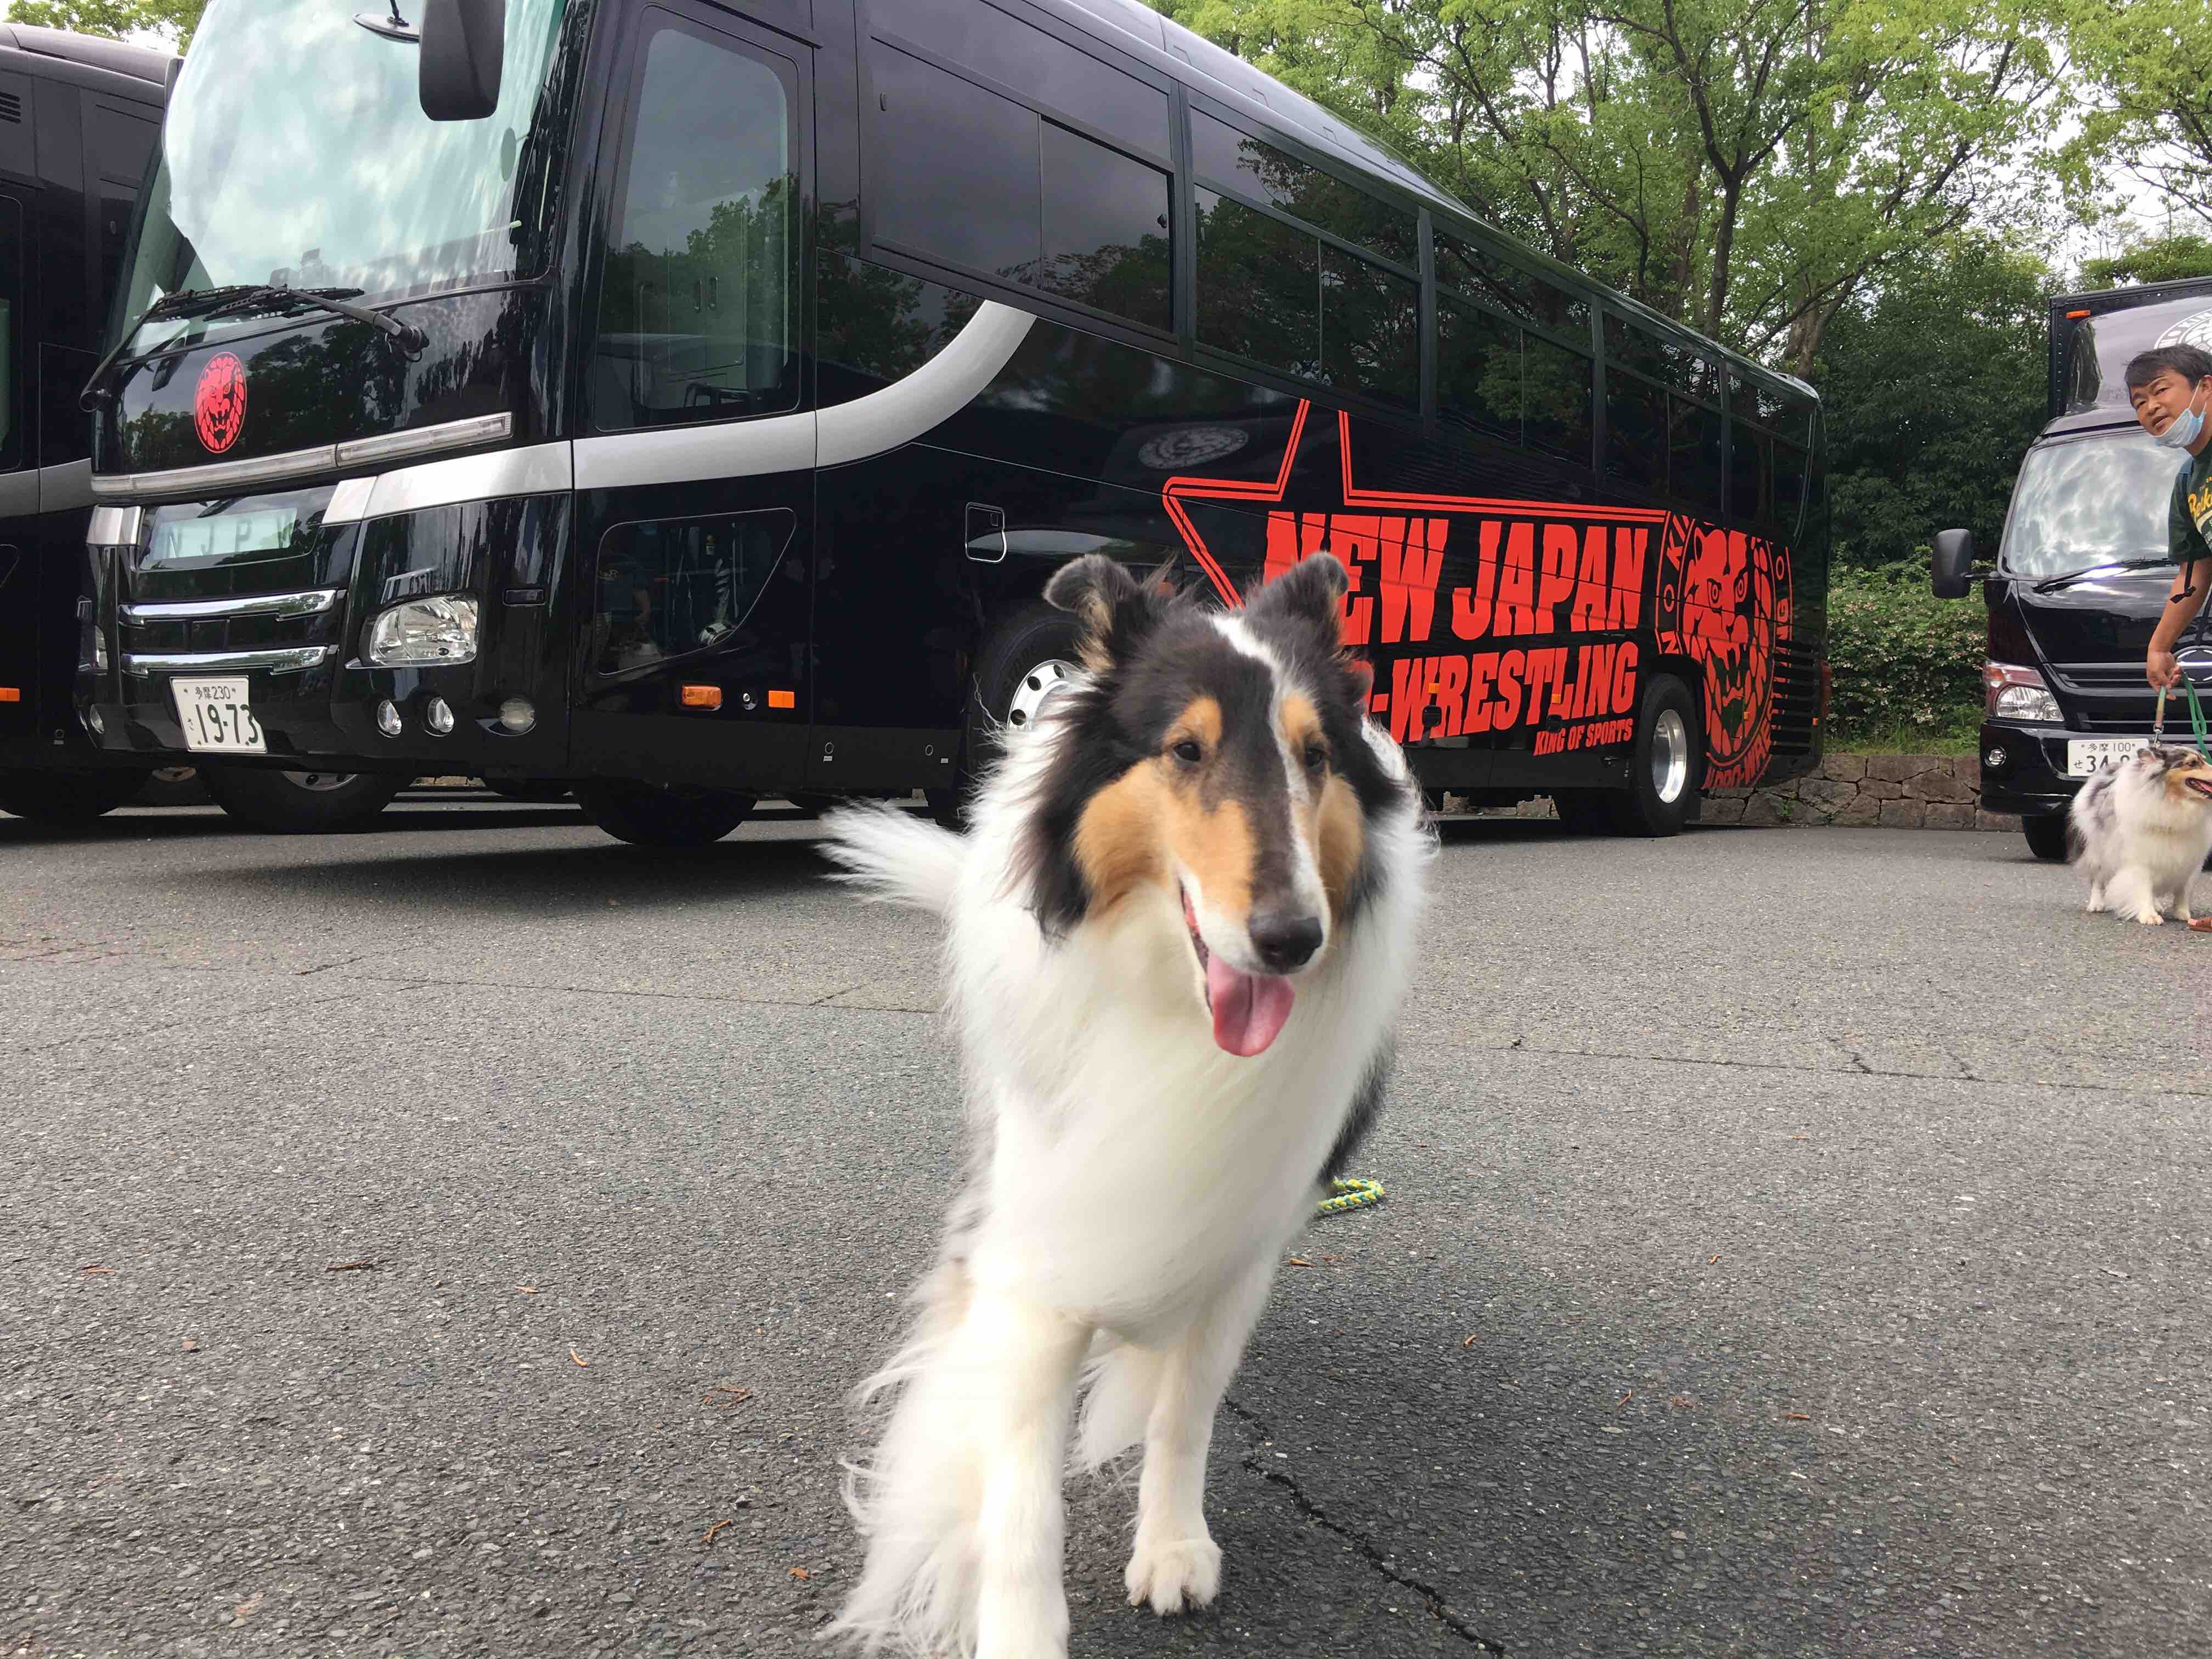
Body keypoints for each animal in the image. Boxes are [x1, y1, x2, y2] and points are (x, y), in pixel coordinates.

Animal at [816, 553, 1428, 1657]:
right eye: (1186, 749)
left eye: (1316, 755)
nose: (1291, 940)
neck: (1167, 1011)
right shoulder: (1037, 1235)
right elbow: (1020, 1495)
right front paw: (1018, 1629)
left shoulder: (1235, 1242)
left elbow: (1185, 1411)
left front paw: (1173, 1543)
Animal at [2068, 744, 2212, 924]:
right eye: (2192, 763)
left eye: (2204, 760)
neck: (2171, 799)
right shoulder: (2140, 858)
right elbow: (2143, 886)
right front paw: (2149, 916)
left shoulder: (2189, 860)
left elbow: (2183, 890)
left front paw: (2183, 913)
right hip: (2096, 848)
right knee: (2097, 878)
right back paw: (2096, 904)